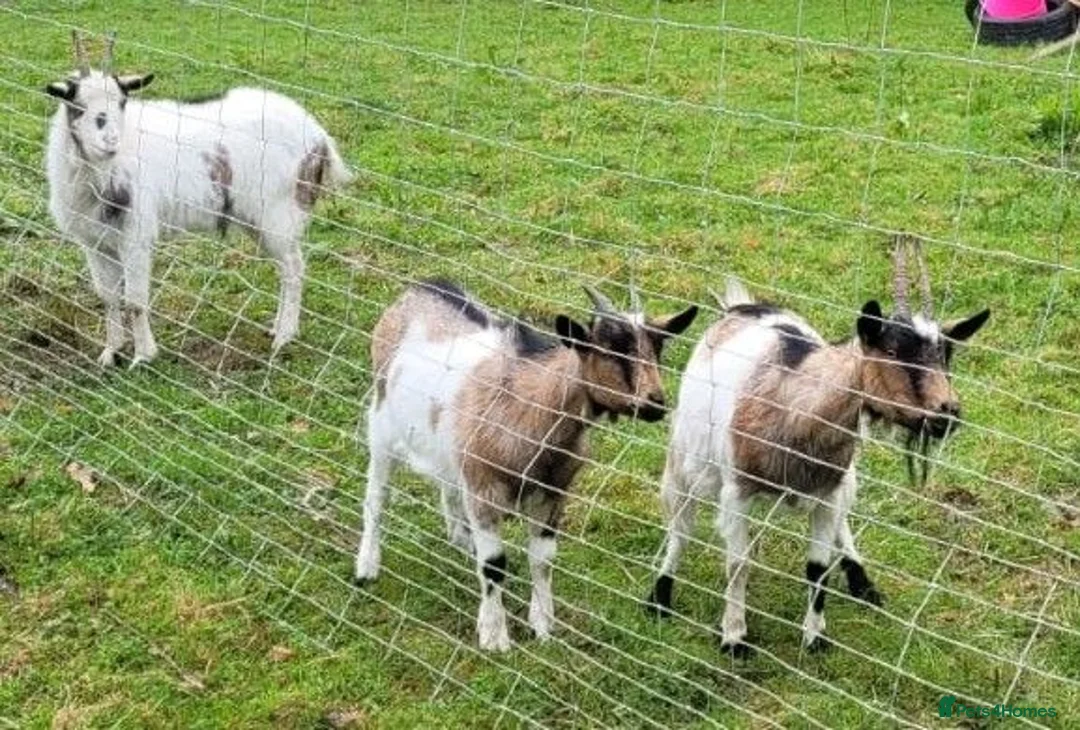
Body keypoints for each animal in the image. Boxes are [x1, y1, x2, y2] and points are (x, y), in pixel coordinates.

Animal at [45, 32, 351, 367]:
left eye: (122, 102)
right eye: (77, 105)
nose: (111, 141)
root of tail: (319, 136)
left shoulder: (136, 236)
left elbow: (135, 301)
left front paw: (143, 356)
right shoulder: (94, 241)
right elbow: (108, 297)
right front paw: (111, 352)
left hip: (280, 212)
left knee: (294, 268)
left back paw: (284, 337)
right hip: (258, 219)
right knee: (286, 267)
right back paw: (277, 329)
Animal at [354, 279, 698, 651]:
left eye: (658, 349)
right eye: (609, 349)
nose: (655, 404)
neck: (532, 409)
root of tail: (423, 287)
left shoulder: (553, 493)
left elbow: (543, 559)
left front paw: (544, 626)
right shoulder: (484, 489)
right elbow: (494, 565)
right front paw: (494, 635)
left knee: (448, 490)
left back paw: (461, 540)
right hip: (381, 425)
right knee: (376, 498)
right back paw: (366, 567)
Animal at [645, 240, 989, 655]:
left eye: (946, 355)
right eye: (891, 351)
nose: (947, 413)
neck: (796, 408)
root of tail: (741, 307)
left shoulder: (828, 492)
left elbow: (817, 569)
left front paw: (815, 637)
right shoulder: (737, 491)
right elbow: (737, 564)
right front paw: (734, 637)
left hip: (846, 479)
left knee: (843, 524)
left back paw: (862, 582)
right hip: (686, 457)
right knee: (680, 527)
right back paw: (660, 596)